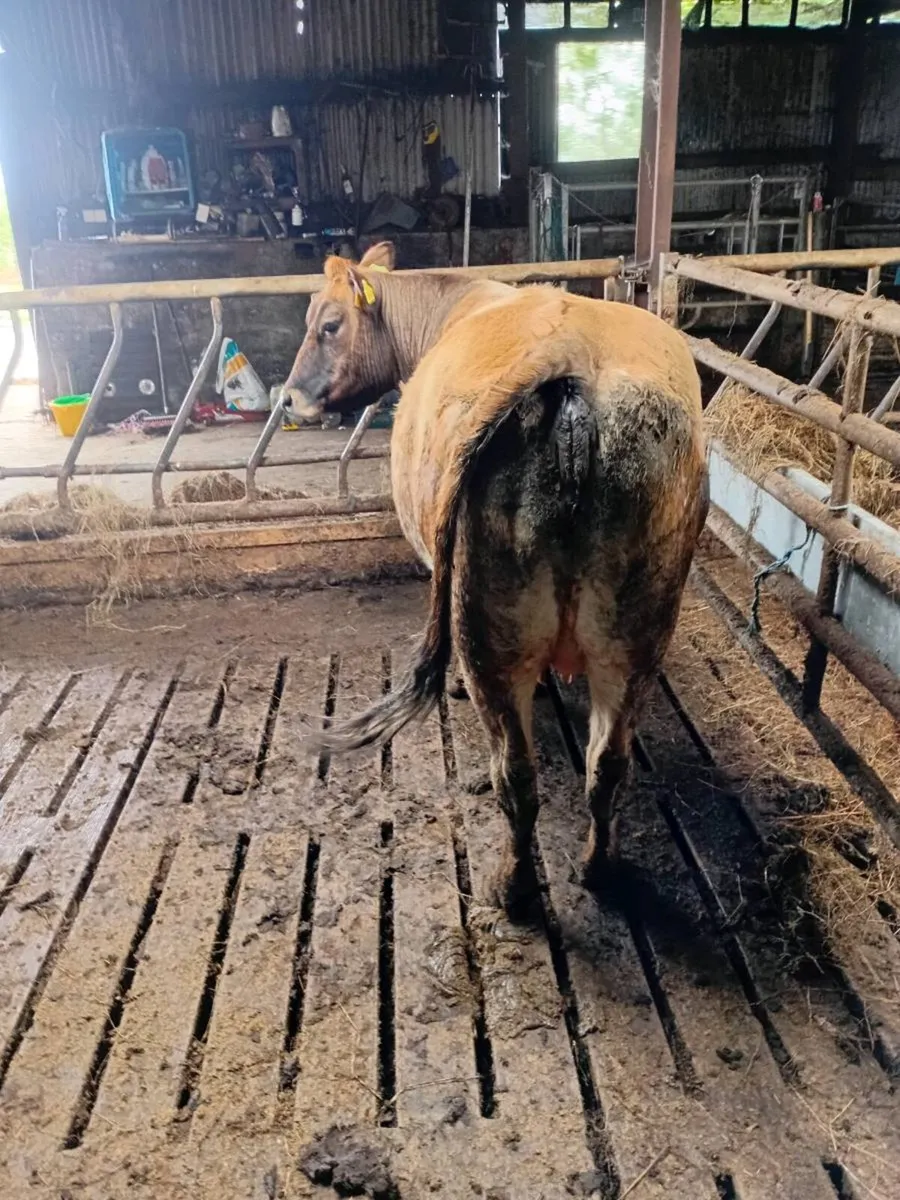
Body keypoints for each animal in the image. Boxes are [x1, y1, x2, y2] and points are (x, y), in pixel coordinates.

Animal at [284, 242, 708, 918]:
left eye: (328, 324)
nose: (288, 398)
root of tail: (569, 364)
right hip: (637, 634)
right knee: (608, 766)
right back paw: (599, 867)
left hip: (490, 629)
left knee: (516, 773)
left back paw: (511, 886)